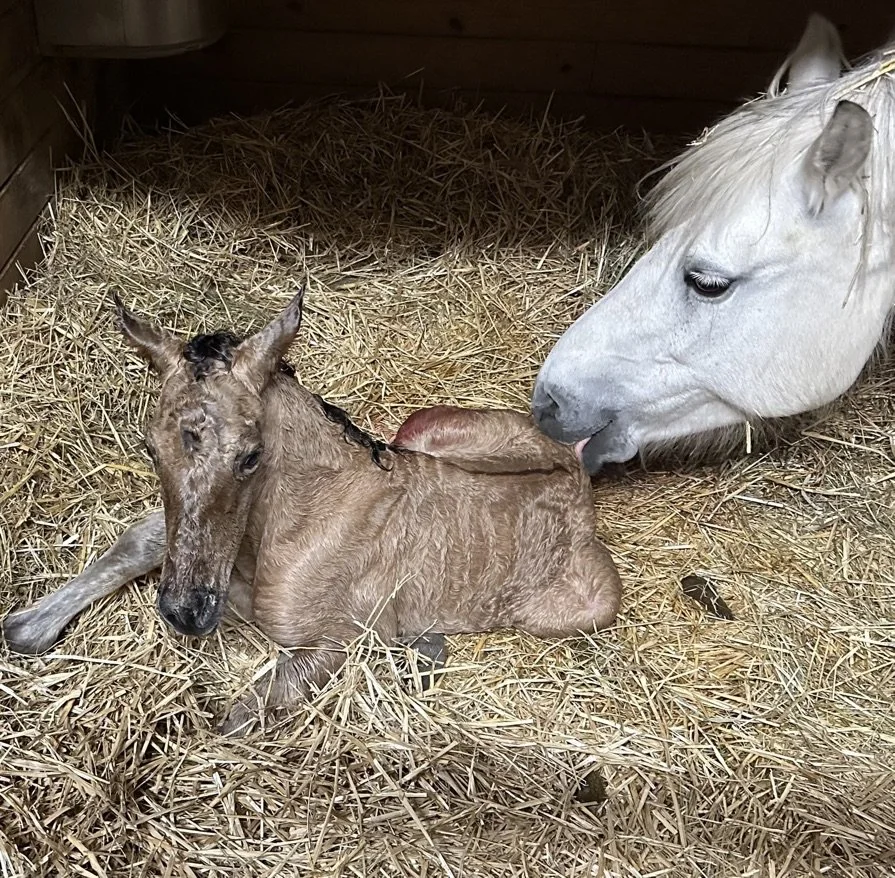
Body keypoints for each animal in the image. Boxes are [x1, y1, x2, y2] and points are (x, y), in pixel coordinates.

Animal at [3, 290, 621, 735]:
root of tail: (575, 477)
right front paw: (27, 626)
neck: (284, 528)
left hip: (586, 606)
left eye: (251, 456)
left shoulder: (334, 641)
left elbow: (235, 719)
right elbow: (144, 540)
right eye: (151, 449)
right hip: (423, 430)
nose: (187, 612)